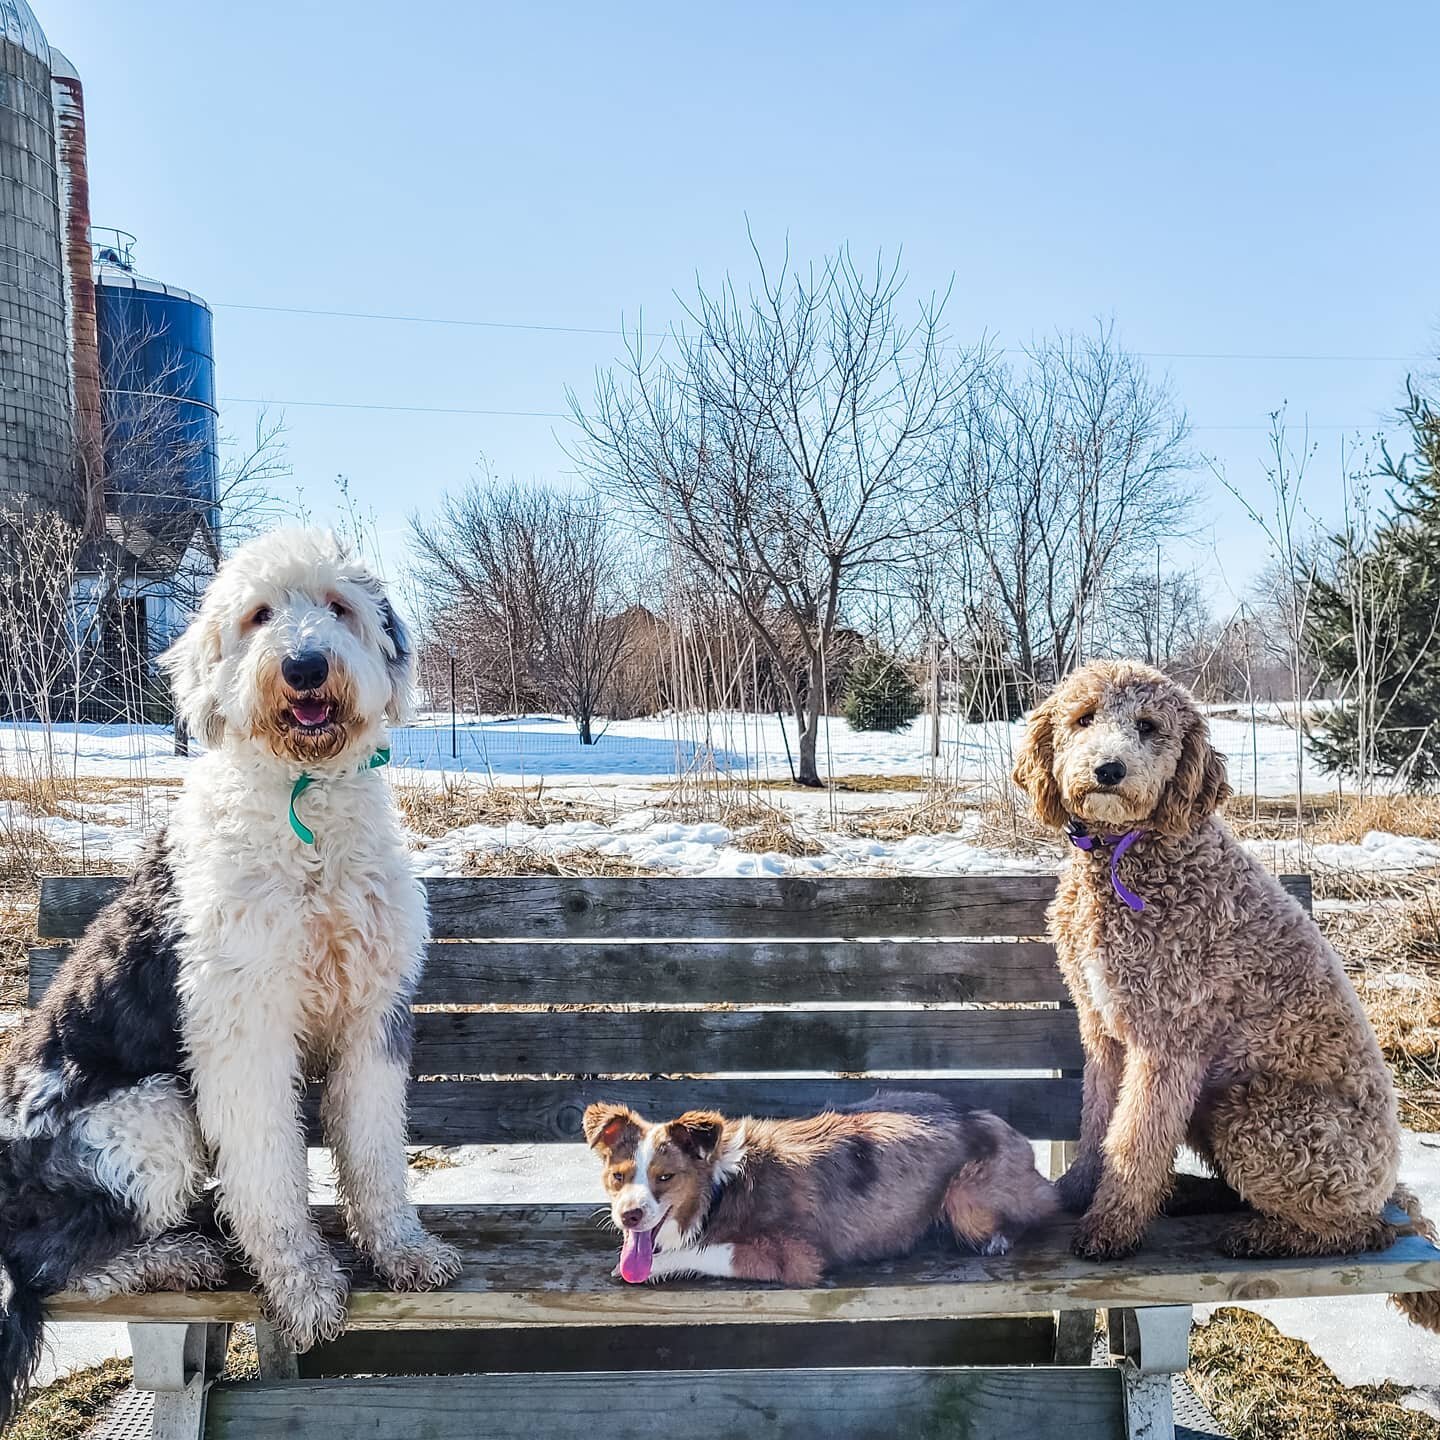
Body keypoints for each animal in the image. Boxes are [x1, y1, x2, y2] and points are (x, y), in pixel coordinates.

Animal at [0, 529, 455, 1416]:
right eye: (258, 614)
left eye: (339, 606)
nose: (306, 666)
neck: (306, 806)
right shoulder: (244, 1027)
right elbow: (269, 1171)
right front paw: (303, 1285)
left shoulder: (371, 1014)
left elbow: (375, 1149)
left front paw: (403, 1250)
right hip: (150, 1113)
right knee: (51, 1268)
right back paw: (172, 1258)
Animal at [584, 1088, 1059, 1284]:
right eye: (618, 1176)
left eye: (665, 1177)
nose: (629, 1216)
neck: (720, 1189)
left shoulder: (795, 1257)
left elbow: (706, 1250)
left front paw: (652, 1267)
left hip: (965, 1200)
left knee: (1039, 1212)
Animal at [1013, 659, 1440, 1330]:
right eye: (1083, 719)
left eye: (1148, 725)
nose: (1109, 769)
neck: (1126, 859)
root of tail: (1390, 1181)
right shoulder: (1103, 1030)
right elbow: (1097, 1122)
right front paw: (1078, 1190)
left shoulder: (1167, 1044)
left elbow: (1134, 1141)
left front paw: (1110, 1228)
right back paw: (1192, 1195)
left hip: (1258, 1115)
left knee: (1358, 1230)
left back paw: (1264, 1236)